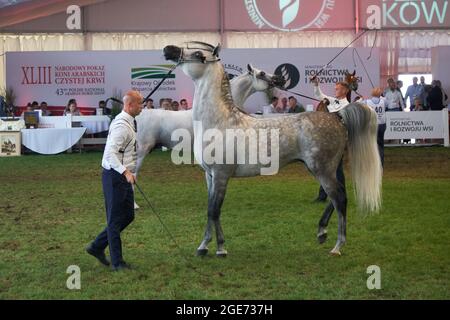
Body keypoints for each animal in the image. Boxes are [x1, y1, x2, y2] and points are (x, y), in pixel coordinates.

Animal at [163, 42, 382, 258]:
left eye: (198, 54)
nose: (168, 49)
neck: (220, 121)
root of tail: (337, 116)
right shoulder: (209, 176)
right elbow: (209, 210)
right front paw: (203, 246)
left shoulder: (221, 176)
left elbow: (215, 211)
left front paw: (221, 249)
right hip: (323, 169)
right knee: (337, 195)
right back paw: (322, 232)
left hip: (323, 170)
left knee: (339, 198)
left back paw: (337, 245)